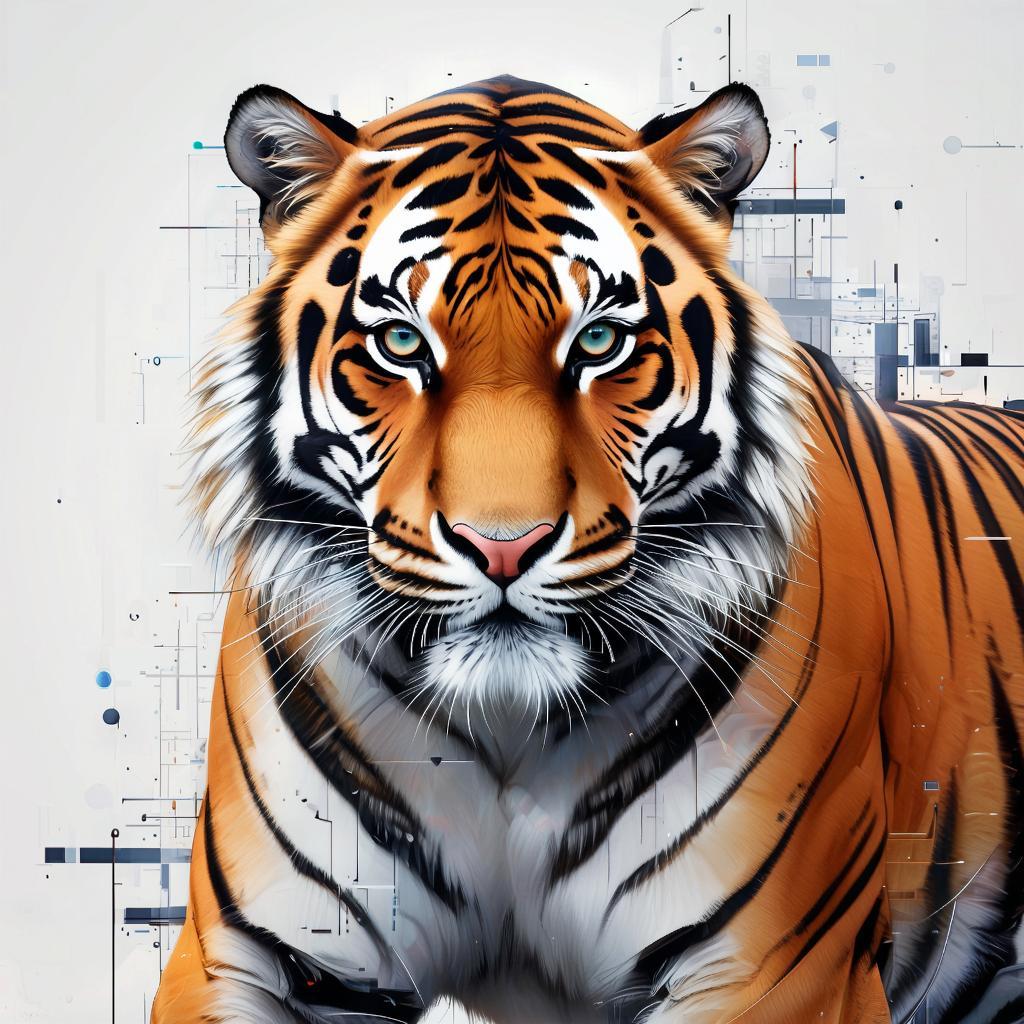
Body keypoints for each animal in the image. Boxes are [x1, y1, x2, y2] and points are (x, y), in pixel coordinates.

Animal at [152, 75, 1024, 1024]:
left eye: (599, 342)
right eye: (401, 342)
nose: (503, 547)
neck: (509, 726)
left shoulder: (772, 973)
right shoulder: (249, 957)